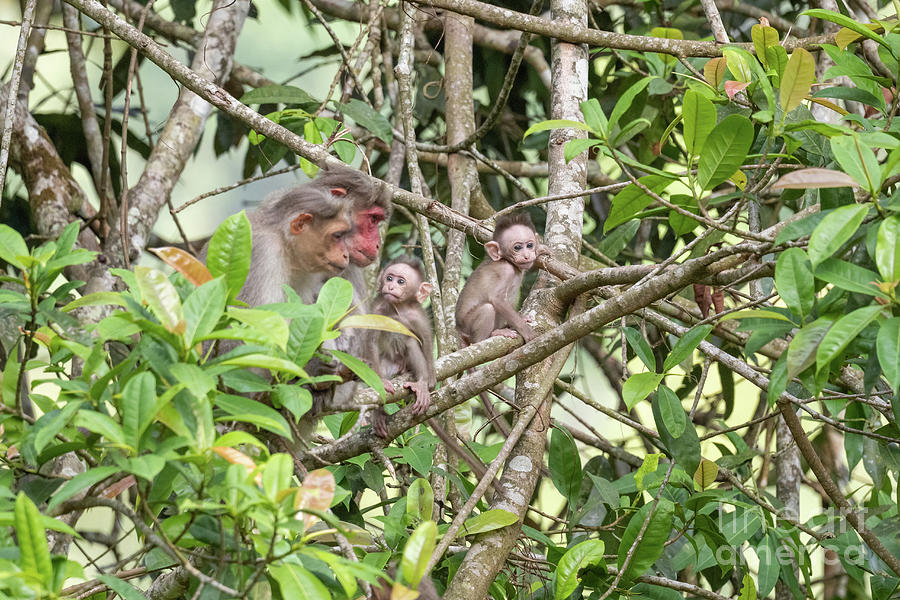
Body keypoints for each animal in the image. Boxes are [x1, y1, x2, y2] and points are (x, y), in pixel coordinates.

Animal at [366, 256, 436, 436]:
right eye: (389, 278)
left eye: (401, 282)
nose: (390, 286)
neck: (397, 309)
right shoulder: (377, 309)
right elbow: (371, 343)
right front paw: (381, 381)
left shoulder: (417, 316)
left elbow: (426, 340)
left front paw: (430, 380)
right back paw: (379, 413)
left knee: (411, 342)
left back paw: (421, 384)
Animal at [458, 211, 548, 344]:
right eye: (517, 248)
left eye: (530, 245)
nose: (527, 256)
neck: (508, 262)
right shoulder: (505, 270)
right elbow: (497, 299)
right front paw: (527, 331)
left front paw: (539, 250)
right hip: (467, 326)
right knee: (487, 309)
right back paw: (491, 335)